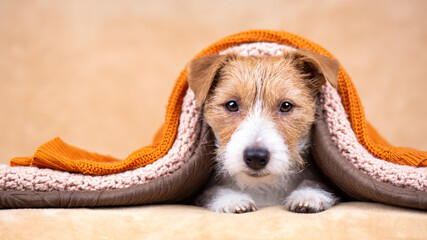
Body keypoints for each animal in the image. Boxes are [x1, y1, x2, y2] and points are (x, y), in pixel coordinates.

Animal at [187, 48, 342, 214]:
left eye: (286, 106)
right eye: (231, 105)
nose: (255, 156)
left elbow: (314, 182)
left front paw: (308, 195)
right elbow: (213, 190)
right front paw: (232, 200)